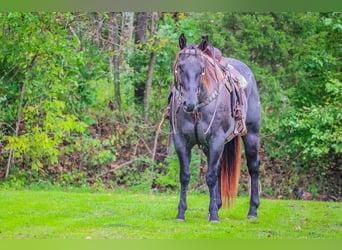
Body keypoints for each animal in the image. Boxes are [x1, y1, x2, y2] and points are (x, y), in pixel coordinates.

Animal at [169, 33, 262, 223]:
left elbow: (210, 177)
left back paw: (252, 211)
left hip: (251, 135)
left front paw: (213, 215)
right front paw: (181, 213)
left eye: (201, 69)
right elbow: (185, 176)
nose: (189, 103)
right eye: (180, 67)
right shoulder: (180, 140)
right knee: (219, 168)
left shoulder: (216, 139)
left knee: (253, 167)